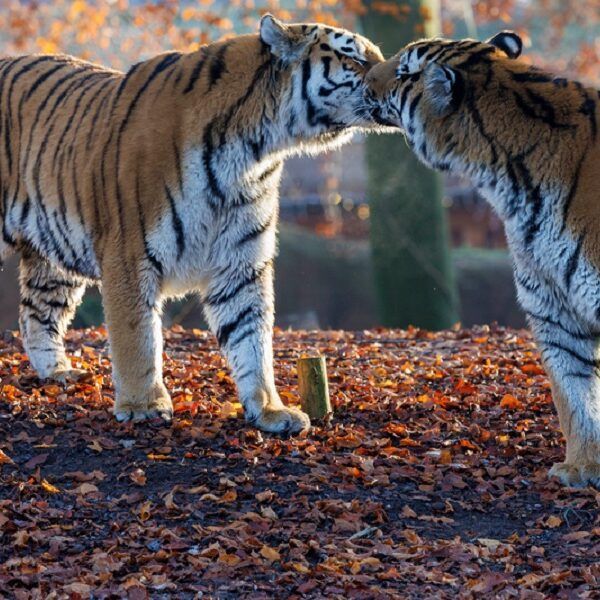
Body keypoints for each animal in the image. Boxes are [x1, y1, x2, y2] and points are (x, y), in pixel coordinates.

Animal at [0, 16, 384, 434]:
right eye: (354, 58)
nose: (396, 76)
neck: (254, 152)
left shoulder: (240, 260)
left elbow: (252, 338)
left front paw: (269, 410)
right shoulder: (128, 254)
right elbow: (137, 336)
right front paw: (143, 405)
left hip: (54, 254)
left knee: (36, 315)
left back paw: (58, 373)